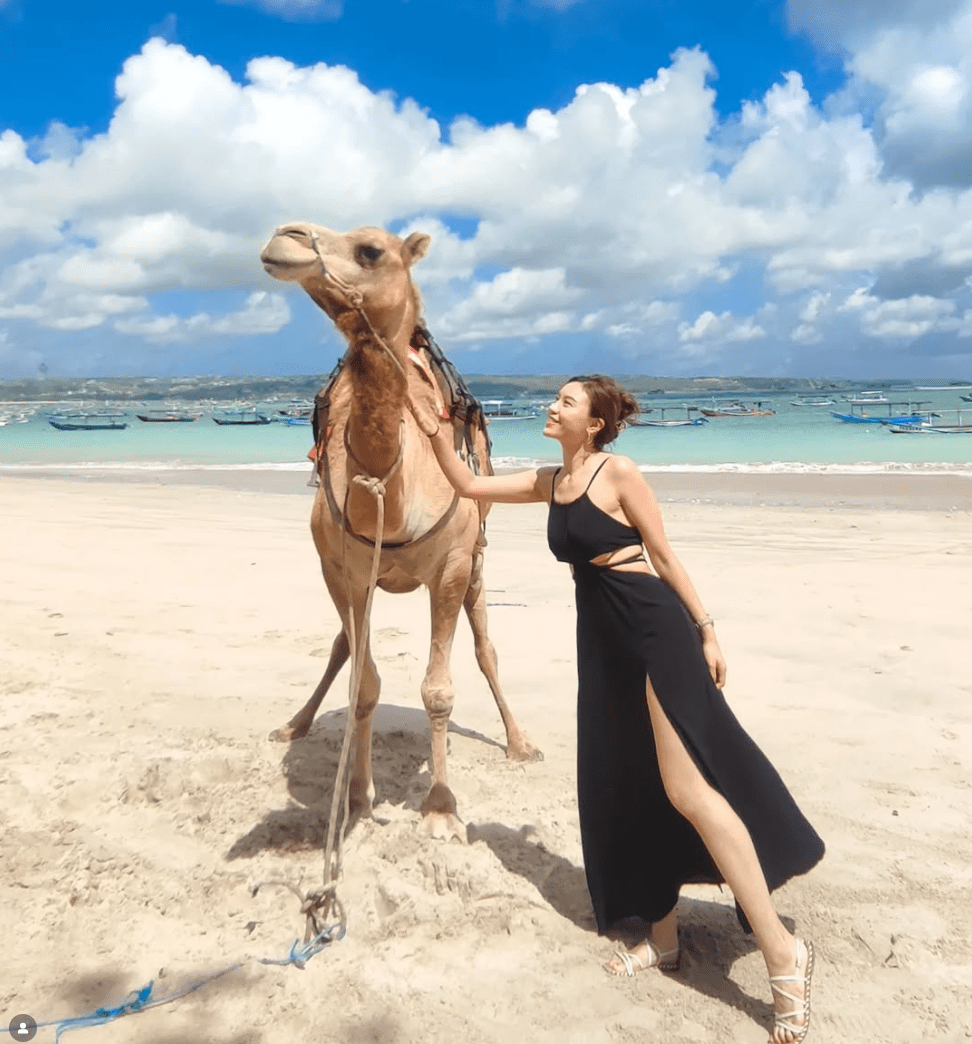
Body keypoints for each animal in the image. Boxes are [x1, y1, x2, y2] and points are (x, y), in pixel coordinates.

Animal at [259, 223, 542, 842]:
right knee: (343, 646)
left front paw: (440, 807)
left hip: (476, 562)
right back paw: (294, 725)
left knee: (486, 648)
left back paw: (519, 743)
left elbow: (439, 690)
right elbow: (363, 684)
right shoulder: (341, 570)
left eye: (370, 250)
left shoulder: (453, 566)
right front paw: (357, 802)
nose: (284, 236)